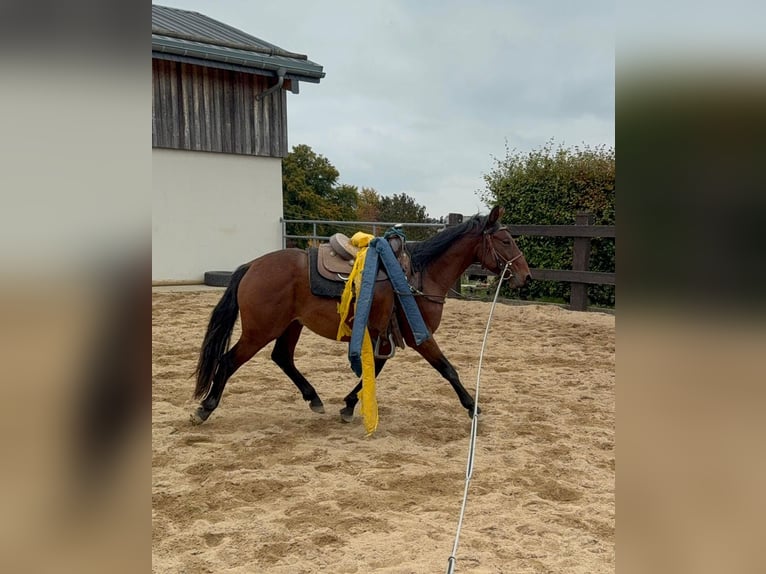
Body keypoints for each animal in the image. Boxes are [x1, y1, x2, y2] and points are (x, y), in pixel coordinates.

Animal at [191, 205, 530, 425]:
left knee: (282, 358)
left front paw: (348, 405)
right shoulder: (419, 337)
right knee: (229, 361)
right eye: (505, 240)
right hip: (260, 330)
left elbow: (375, 370)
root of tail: (252, 266)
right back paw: (205, 408)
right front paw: (473, 407)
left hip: (290, 326)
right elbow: (448, 370)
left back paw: (314, 399)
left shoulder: (384, 335)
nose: (525, 276)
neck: (418, 276)